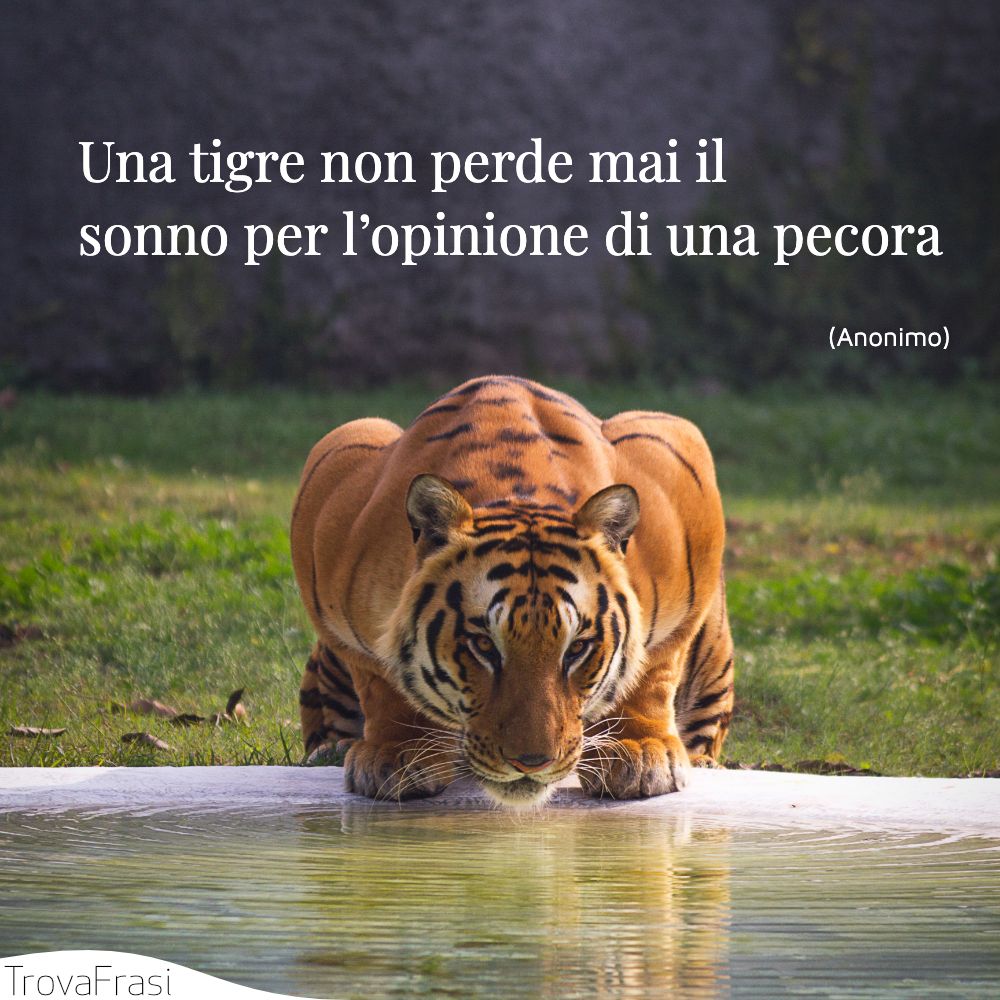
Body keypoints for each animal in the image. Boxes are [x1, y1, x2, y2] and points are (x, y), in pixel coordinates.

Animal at [291, 375, 733, 808]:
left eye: (577, 648)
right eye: (484, 646)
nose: (532, 763)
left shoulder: (679, 463)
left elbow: (654, 667)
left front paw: (639, 752)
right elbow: (379, 678)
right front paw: (397, 753)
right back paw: (332, 750)